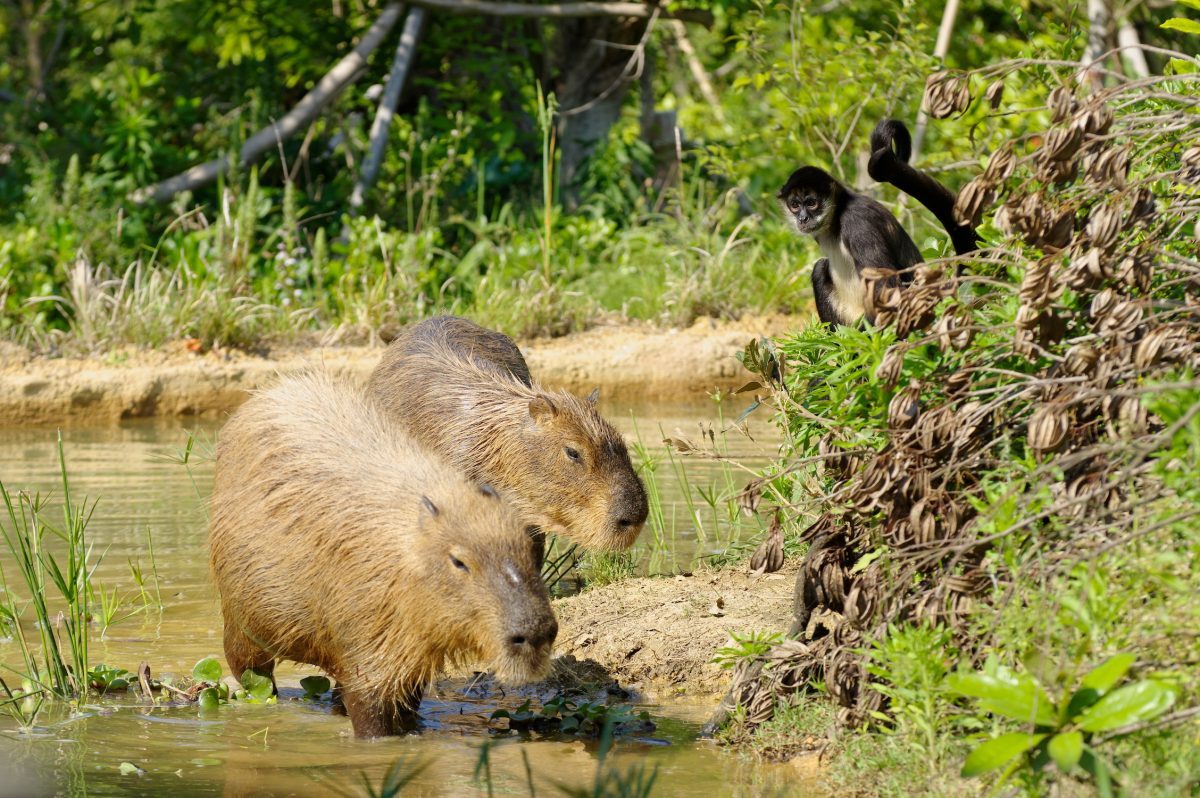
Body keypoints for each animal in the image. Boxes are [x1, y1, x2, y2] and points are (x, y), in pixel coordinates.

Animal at [777, 115, 984, 326]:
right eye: (795, 205)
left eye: (811, 203)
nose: (802, 218)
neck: (837, 220)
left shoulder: (858, 224)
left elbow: (890, 294)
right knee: (820, 268)